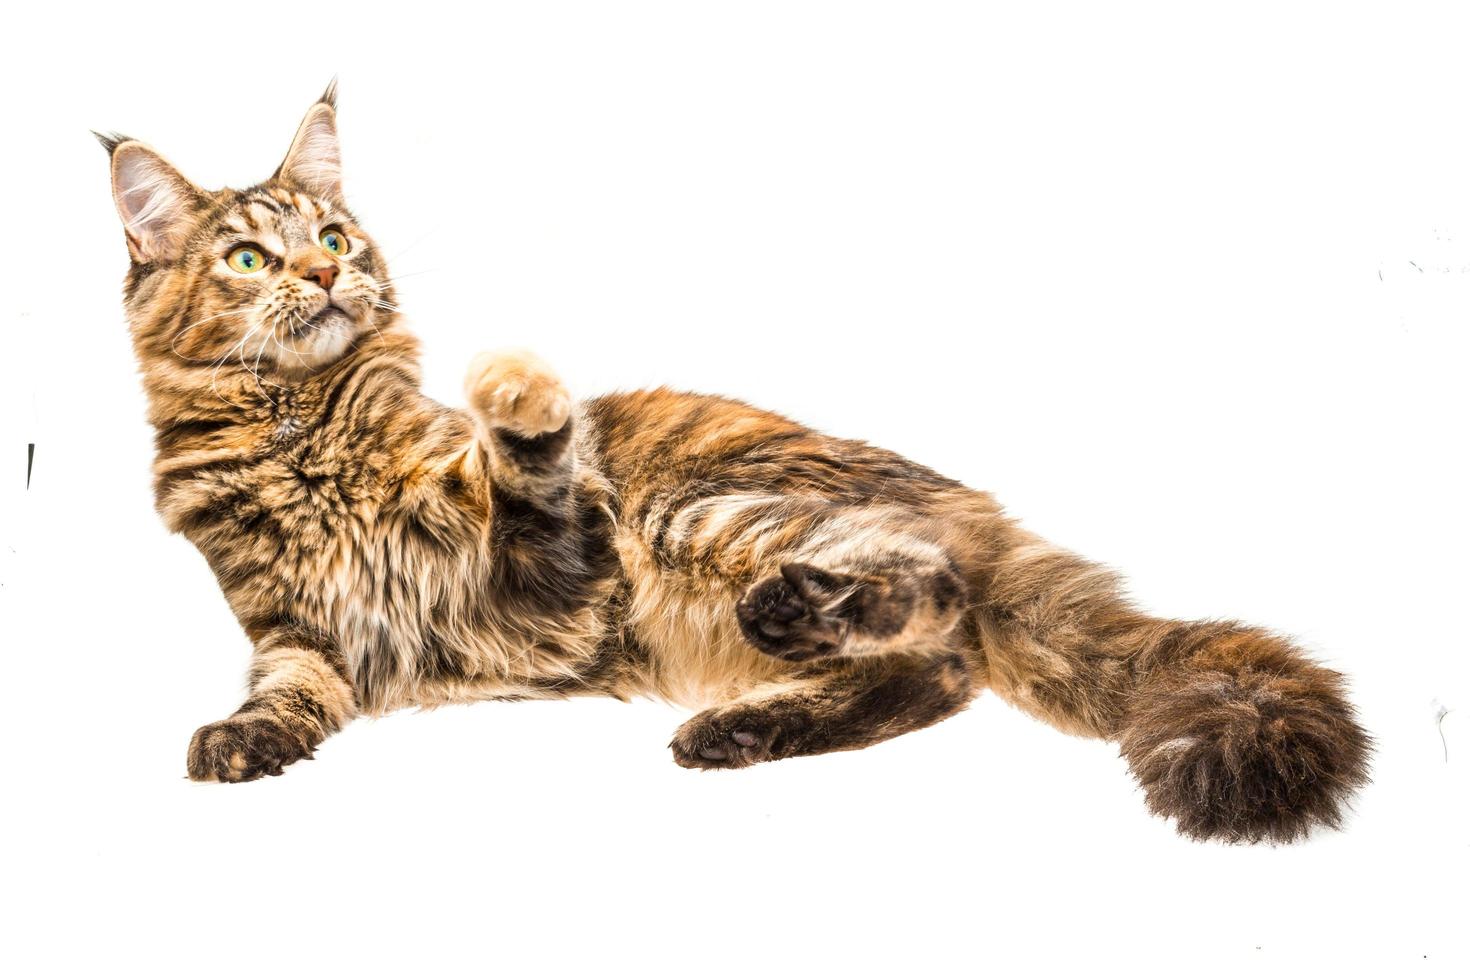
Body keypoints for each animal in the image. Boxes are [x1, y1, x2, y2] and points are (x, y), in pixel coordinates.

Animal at [97, 86, 1370, 846]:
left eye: (335, 239)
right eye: (251, 256)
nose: (323, 278)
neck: (302, 436)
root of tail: (973, 504)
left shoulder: (560, 568)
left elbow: (526, 470)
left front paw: (519, 393)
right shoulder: (302, 636)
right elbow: (283, 694)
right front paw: (240, 742)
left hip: (701, 514)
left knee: (934, 602)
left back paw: (793, 619)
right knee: (938, 672)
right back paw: (742, 727)